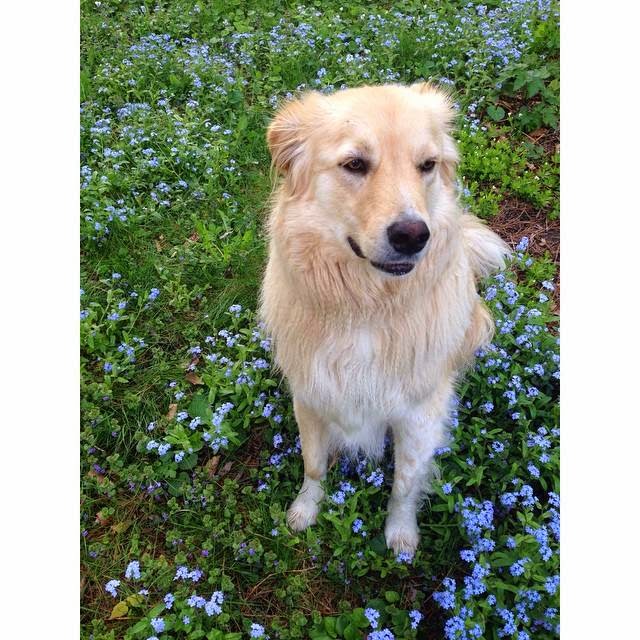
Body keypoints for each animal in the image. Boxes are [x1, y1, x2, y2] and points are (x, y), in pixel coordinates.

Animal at [259, 83, 509, 554]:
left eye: (427, 165)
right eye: (355, 164)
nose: (413, 235)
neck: (368, 306)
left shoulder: (419, 415)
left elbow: (404, 484)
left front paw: (401, 534)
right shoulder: (311, 396)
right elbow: (314, 464)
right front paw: (306, 510)